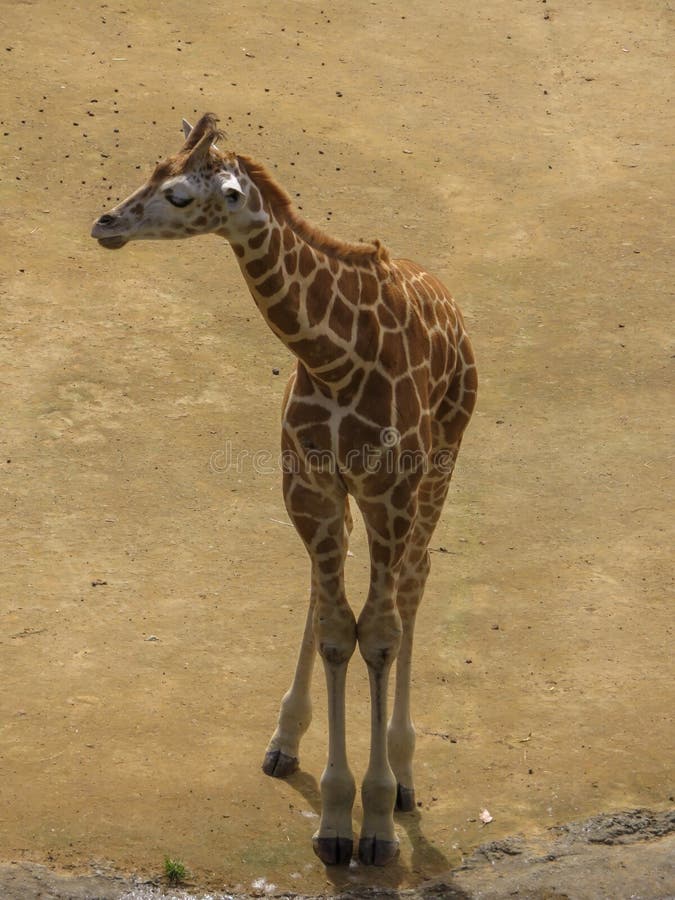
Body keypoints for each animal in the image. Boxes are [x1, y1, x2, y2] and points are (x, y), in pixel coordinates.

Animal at [91, 113, 477, 867]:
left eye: (180, 195)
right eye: (153, 167)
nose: (105, 224)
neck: (334, 360)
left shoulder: (389, 491)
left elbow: (377, 636)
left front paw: (376, 823)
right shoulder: (309, 484)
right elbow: (334, 629)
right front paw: (333, 819)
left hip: (440, 466)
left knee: (412, 588)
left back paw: (405, 776)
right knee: (331, 591)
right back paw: (285, 740)